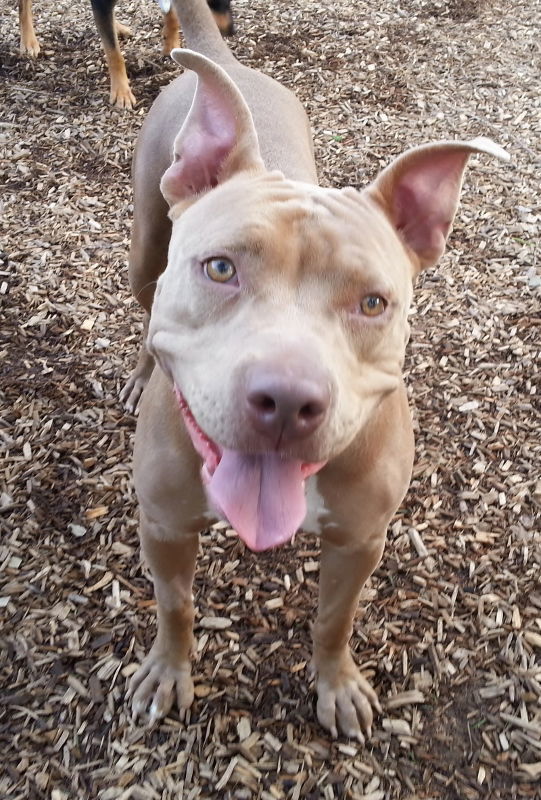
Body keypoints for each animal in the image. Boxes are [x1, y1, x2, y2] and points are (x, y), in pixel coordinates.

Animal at [16, 0, 232, 108]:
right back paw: (28, 41)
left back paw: (118, 26)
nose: (230, 31)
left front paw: (171, 43)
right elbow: (114, 53)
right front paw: (121, 92)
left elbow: (172, 14)